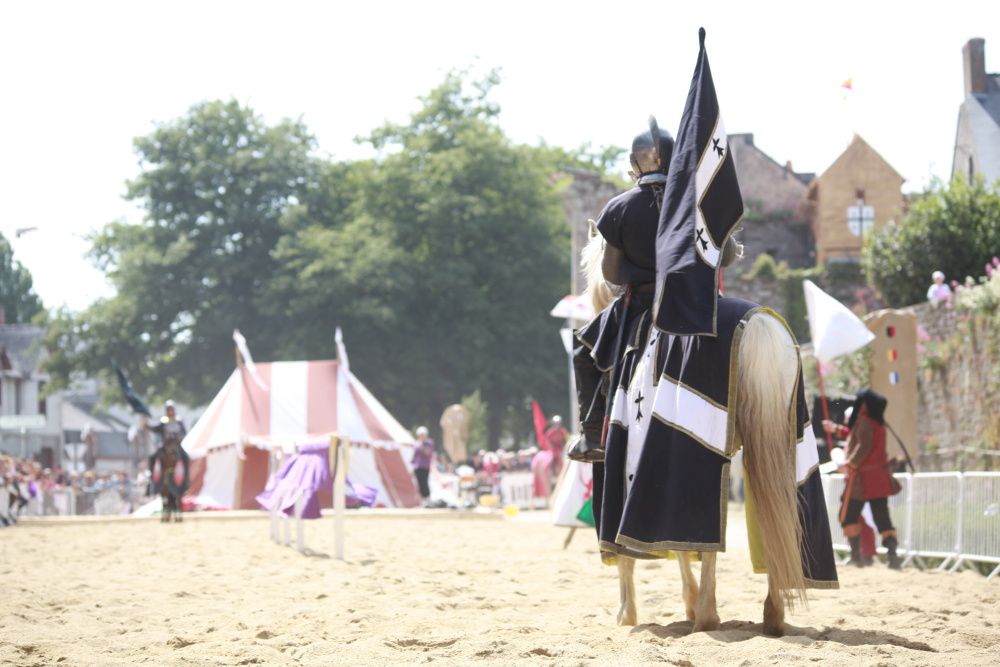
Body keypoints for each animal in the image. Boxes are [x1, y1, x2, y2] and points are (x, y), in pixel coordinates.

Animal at [584, 227, 808, 640]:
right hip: (771, 445)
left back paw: (705, 614)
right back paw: (773, 614)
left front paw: (630, 613)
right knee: (774, 520)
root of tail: (758, 325)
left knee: (708, 536)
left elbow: (647, 549)